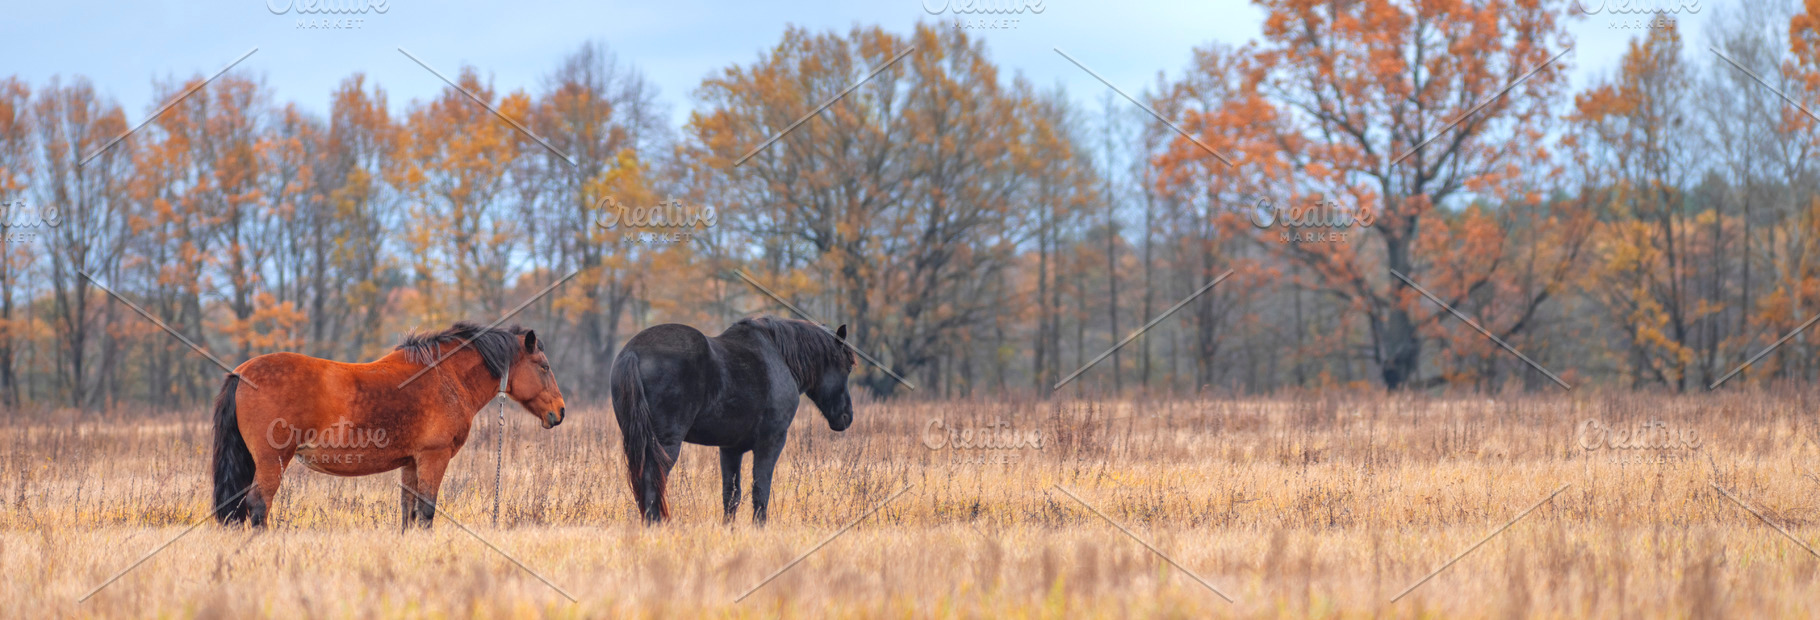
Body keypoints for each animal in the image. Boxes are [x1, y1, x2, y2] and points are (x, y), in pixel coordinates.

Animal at [209, 322, 567, 528]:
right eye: (544, 366)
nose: (560, 412)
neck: (443, 376)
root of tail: (241, 372)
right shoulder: (433, 457)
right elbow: (426, 511)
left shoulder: (411, 463)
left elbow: (408, 513)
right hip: (273, 460)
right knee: (258, 505)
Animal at [611, 316, 855, 524]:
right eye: (847, 367)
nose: (847, 416)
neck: (779, 357)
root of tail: (633, 353)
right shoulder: (771, 442)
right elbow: (760, 491)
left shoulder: (730, 449)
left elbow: (731, 496)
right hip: (665, 444)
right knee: (653, 483)